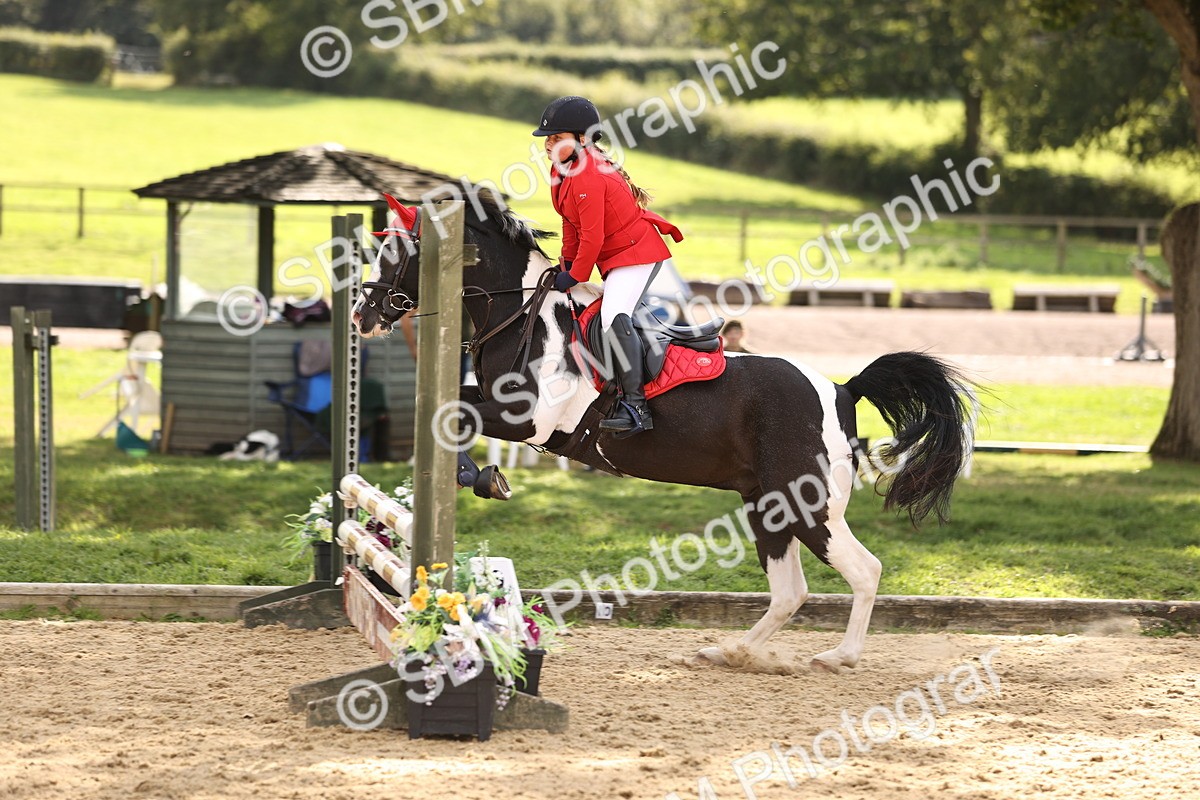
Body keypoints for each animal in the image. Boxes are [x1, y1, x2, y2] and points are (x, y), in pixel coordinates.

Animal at [352, 193, 975, 673]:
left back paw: (838, 656)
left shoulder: (527, 417)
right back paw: (728, 652)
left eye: (397, 253)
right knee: (790, 591)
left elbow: (456, 416)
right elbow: (453, 413)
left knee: (864, 571)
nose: (362, 315)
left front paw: (483, 478)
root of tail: (843, 391)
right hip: (768, 505)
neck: (524, 317)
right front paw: (478, 476)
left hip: (808, 505)